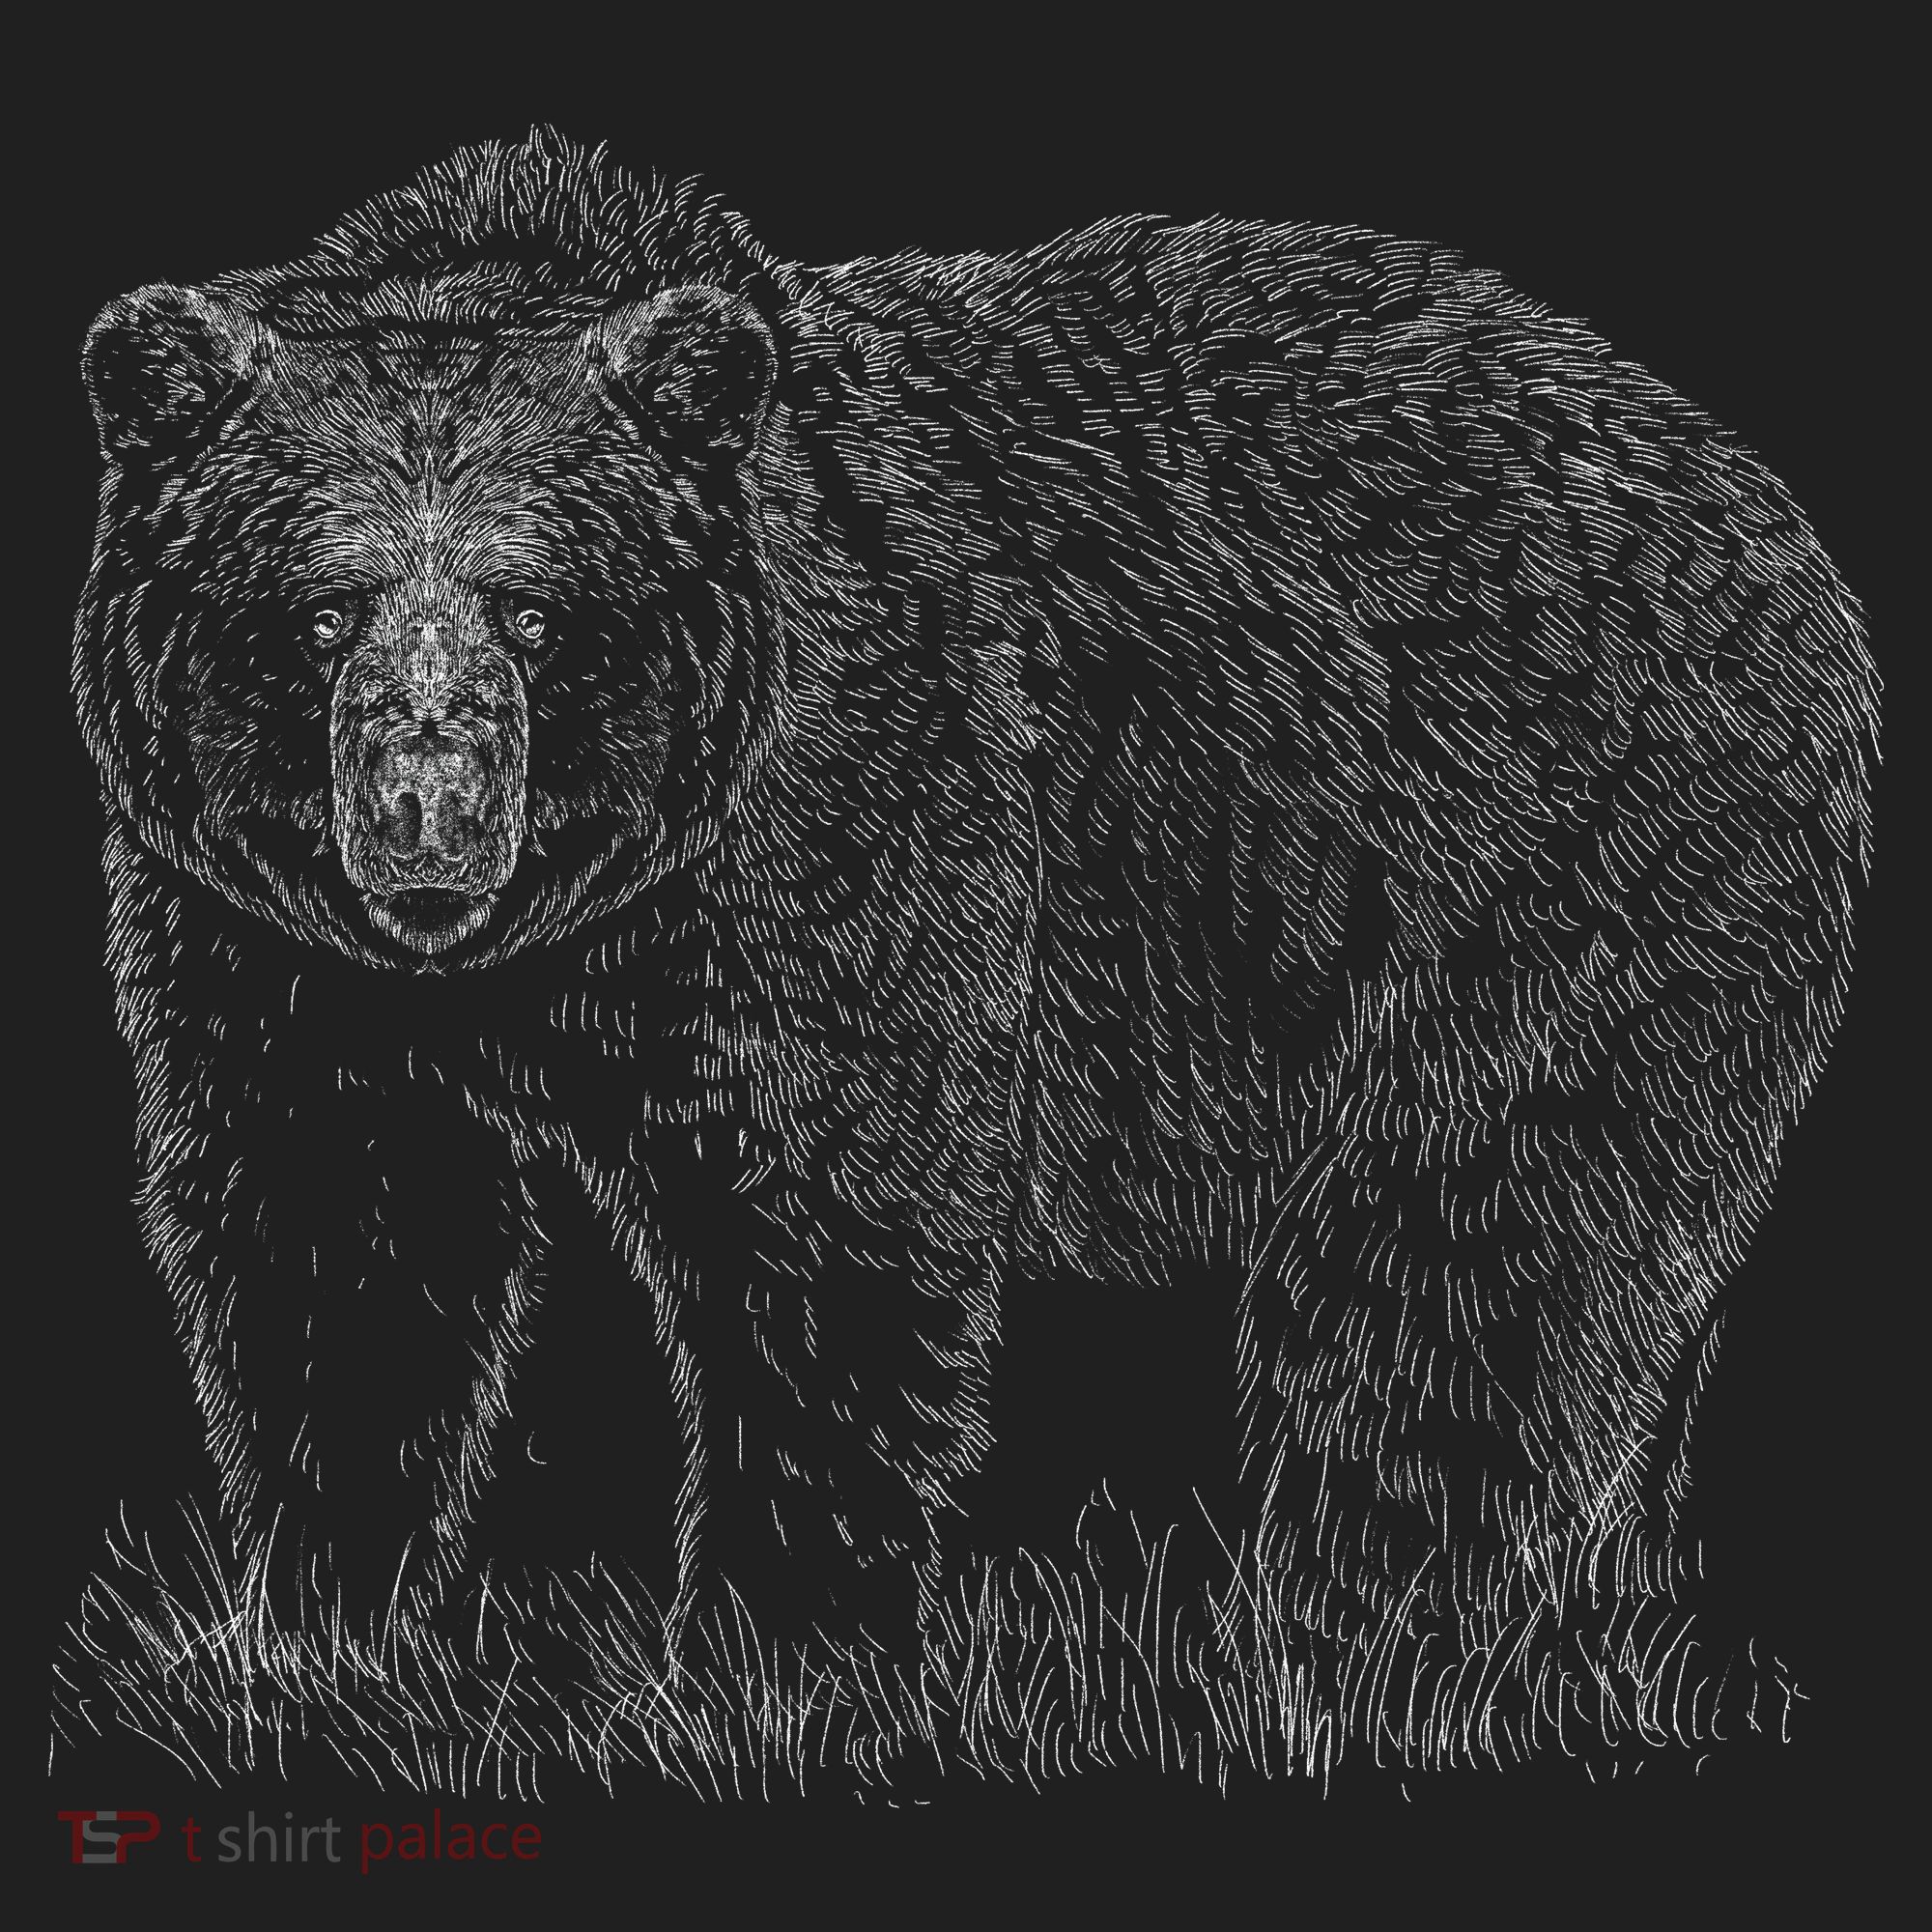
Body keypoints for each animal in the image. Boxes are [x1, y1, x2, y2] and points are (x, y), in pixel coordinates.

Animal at [73, 127, 1875, 1672]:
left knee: (1467, 1265)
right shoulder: (267, 940)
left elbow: (828, 1229)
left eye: (532, 612)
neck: (551, 948)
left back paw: (1355, 1626)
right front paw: (318, 1619)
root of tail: (1768, 513)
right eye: (323, 610)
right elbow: (333, 1235)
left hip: (1548, 865)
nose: (429, 822)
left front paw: (765, 1652)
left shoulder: (840, 822)